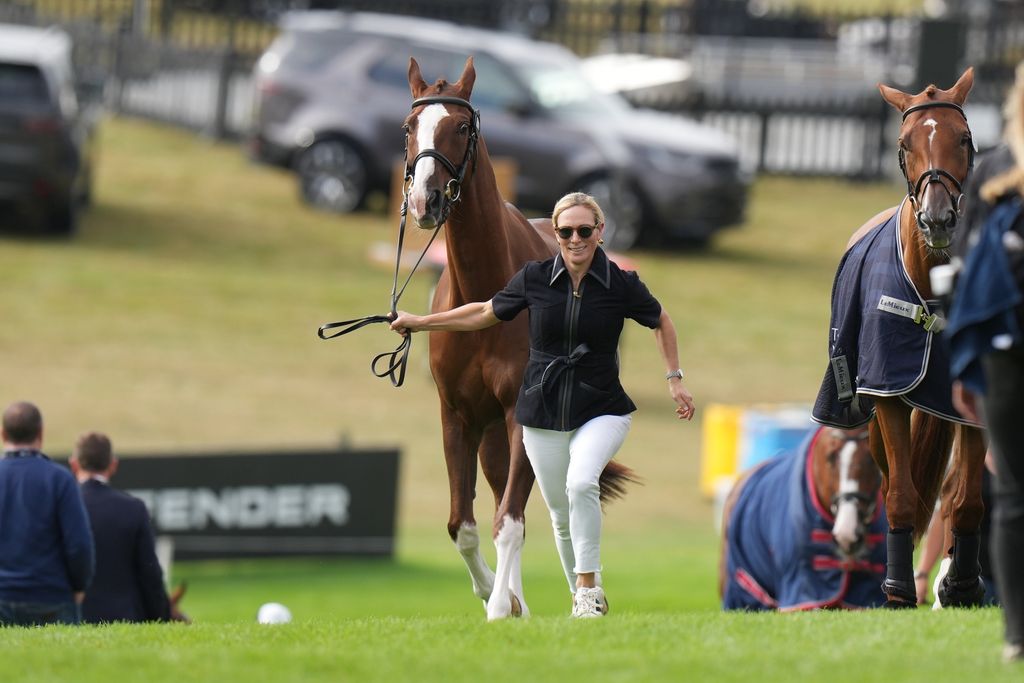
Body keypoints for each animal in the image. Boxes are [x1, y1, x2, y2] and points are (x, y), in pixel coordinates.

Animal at [811, 66, 987, 606]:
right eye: (905, 144)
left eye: (964, 138)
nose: (937, 218)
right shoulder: (887, 389)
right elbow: (901, 493)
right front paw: (897, 590)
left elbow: (967, 498)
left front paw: (960, 583)